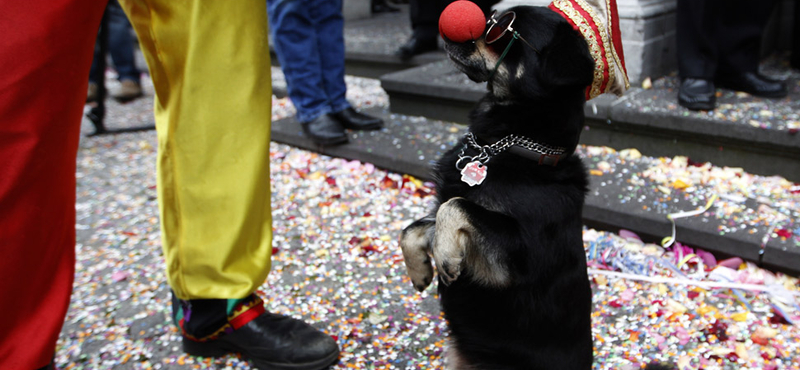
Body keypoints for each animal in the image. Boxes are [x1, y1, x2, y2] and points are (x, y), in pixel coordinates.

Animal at [400, 5, 600, 370]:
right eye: (493, 19)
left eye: (502, 31)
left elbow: (456, 207)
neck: (513, 147)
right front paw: (420, 268)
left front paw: (445, 255)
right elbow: (418, 225)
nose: (446, 30)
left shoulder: (513, 264)